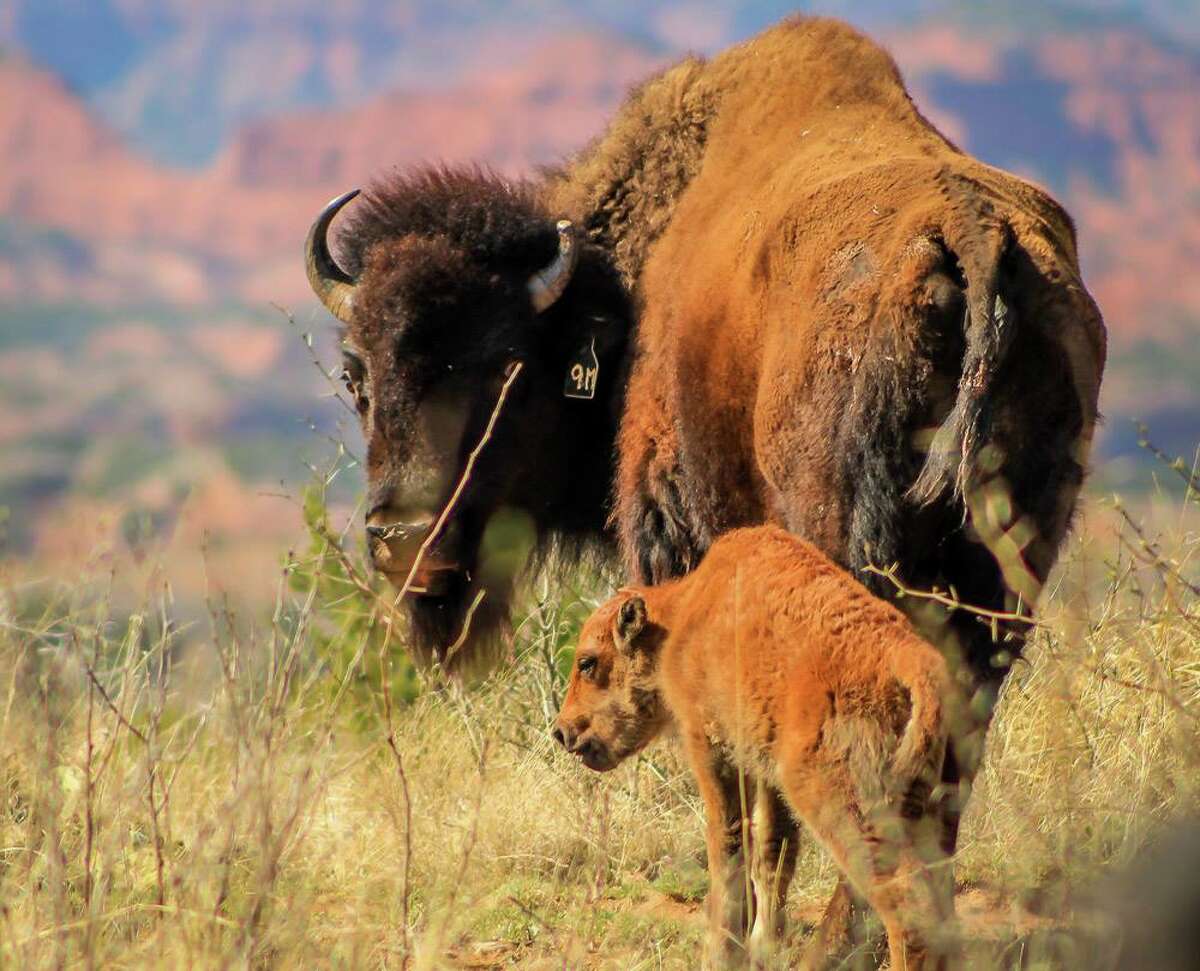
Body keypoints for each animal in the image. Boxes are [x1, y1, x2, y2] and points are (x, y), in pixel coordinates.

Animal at [556, 525, 960, 964]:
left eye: (587, 662)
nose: (562, 731)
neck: (684, 616)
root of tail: (909, 659)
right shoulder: (763, 768)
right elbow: (771, 849)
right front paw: (762, 947)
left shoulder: (711, 747)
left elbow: (728, 846)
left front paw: (720, 955)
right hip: (923, 803)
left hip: (841, 800)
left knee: (907, 907)